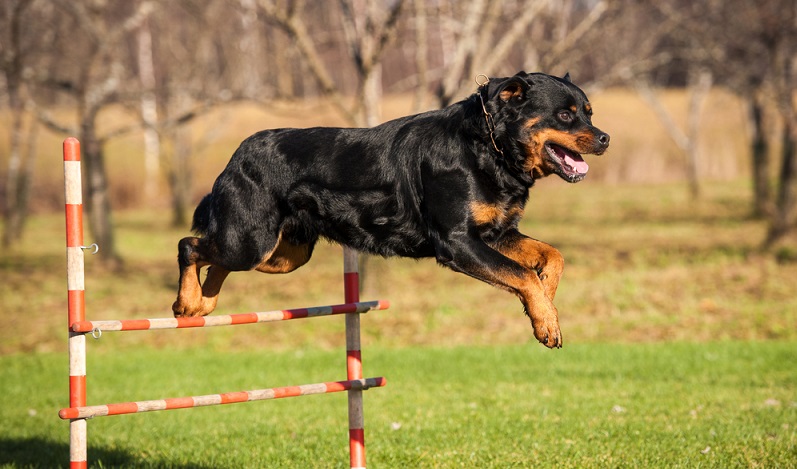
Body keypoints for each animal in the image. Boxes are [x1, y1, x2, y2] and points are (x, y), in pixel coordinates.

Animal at [173, 70, 608, 348]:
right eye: (565, 114)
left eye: (589, 112)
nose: (605, 138)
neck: (488, 147)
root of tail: (236, 155)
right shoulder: (458, 242)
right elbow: (522, 274)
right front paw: (546, 321)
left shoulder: (496, 233)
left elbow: (551, 258)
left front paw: (545, 304)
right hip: (252, 240)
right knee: (190, 245)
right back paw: (188, 302)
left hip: (283, 254)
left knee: (215, 259)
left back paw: (203, 304)